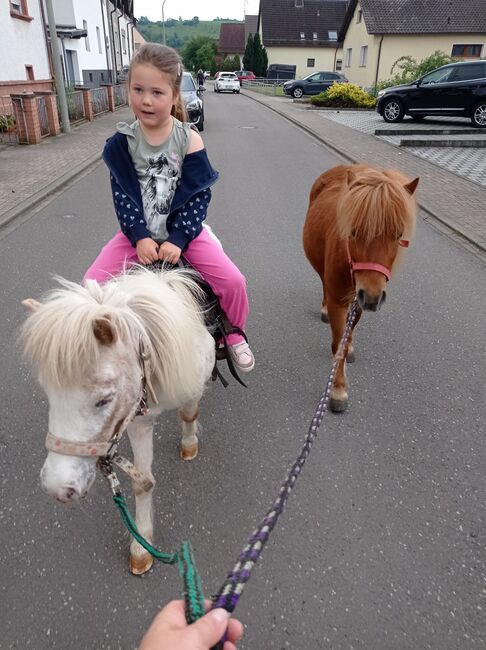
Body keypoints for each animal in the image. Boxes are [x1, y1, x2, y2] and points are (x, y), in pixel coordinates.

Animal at [304, 165, 418, 412]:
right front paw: (338, 390)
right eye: (354, 231)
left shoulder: (360, 300)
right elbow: (338, 345)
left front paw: (350, 347)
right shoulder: (340, 299)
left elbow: (347, 338)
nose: (373, 296)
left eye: (398, 234)